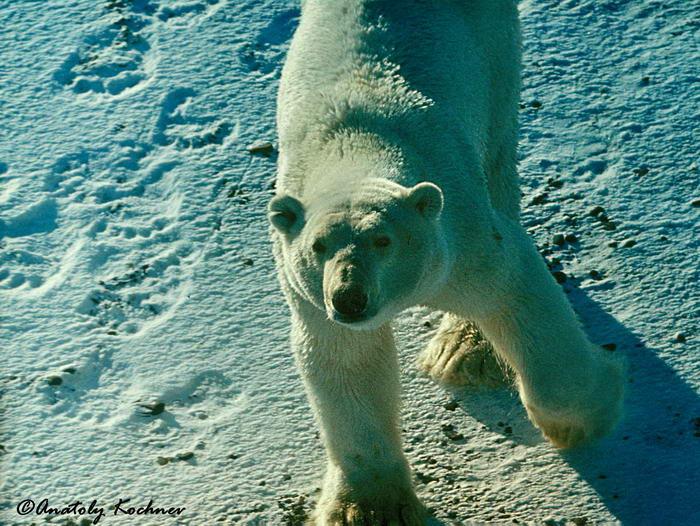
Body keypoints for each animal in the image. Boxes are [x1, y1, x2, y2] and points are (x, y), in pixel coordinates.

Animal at [268, 2, 624, 524]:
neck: (354, 141)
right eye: (318, 246)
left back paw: (466, 350)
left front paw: (587, 417)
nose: (350, 298)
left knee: (497, 156)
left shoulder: (459, 228)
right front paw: (368, 508)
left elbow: (511, 288)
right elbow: (347, 361)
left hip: (495, 57)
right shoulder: (307, 292)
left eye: (383, 240)